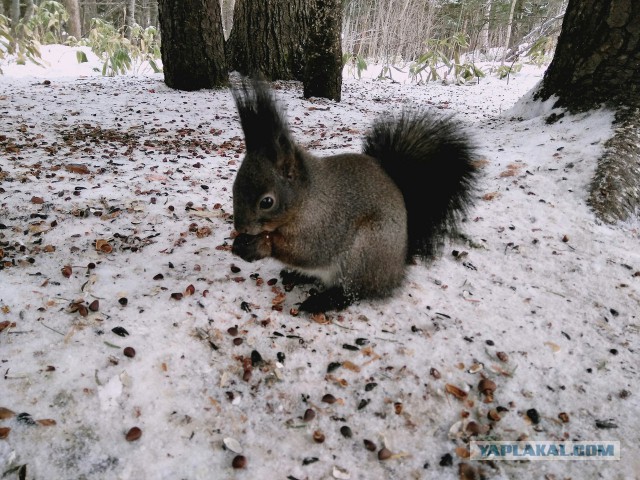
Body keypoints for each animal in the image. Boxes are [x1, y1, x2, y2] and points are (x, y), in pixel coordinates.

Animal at [230, 80, 476, 314]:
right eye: (234, 187)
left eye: (267, 202)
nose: (241, 228)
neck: (307, 199)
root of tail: (397, 267)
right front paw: (240, 243)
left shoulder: (326, 225)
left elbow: (309, 251)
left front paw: (260, 245)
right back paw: (297, 276)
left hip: (365, 253)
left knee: (353, 293)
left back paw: (323, 301)